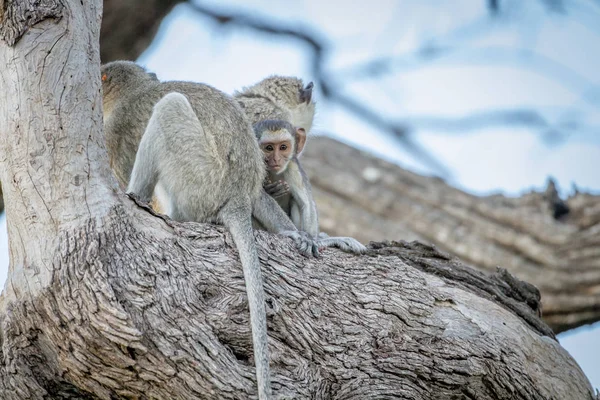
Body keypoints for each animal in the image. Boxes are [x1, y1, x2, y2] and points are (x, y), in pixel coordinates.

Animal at [253, 119, 366, 253]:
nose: (276, 159)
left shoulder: (293, 167)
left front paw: (314, 240)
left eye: (283, 147)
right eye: (269, 148)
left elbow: (306, 204)